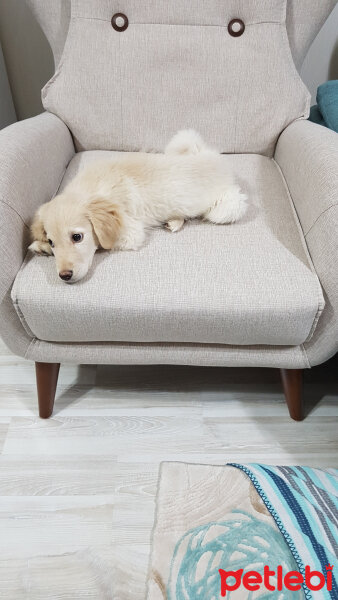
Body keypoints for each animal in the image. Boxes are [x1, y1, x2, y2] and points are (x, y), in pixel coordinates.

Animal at [29, 128, 246, 282]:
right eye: (52, 242)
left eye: (77, 237)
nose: (64, 276)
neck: (93, 189)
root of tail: (213, 156)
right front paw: (41, 246)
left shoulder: (131, 233)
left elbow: (102, 245)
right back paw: (174, 221)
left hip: (226, 207)